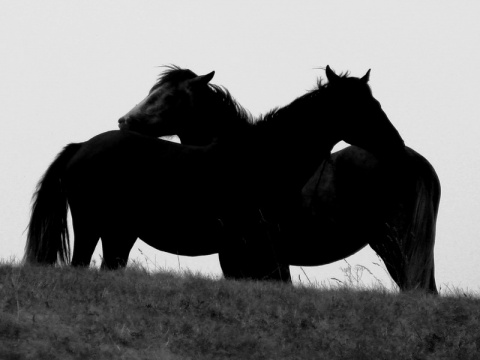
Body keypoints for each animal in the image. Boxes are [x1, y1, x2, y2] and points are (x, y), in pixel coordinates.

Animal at [25, 66, 402, 286]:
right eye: (361, 107)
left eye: (375, 102)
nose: (395, 142)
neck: (261, 158)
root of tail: (82, 146)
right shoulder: (254, 249)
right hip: (92, 225)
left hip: (119, 233)